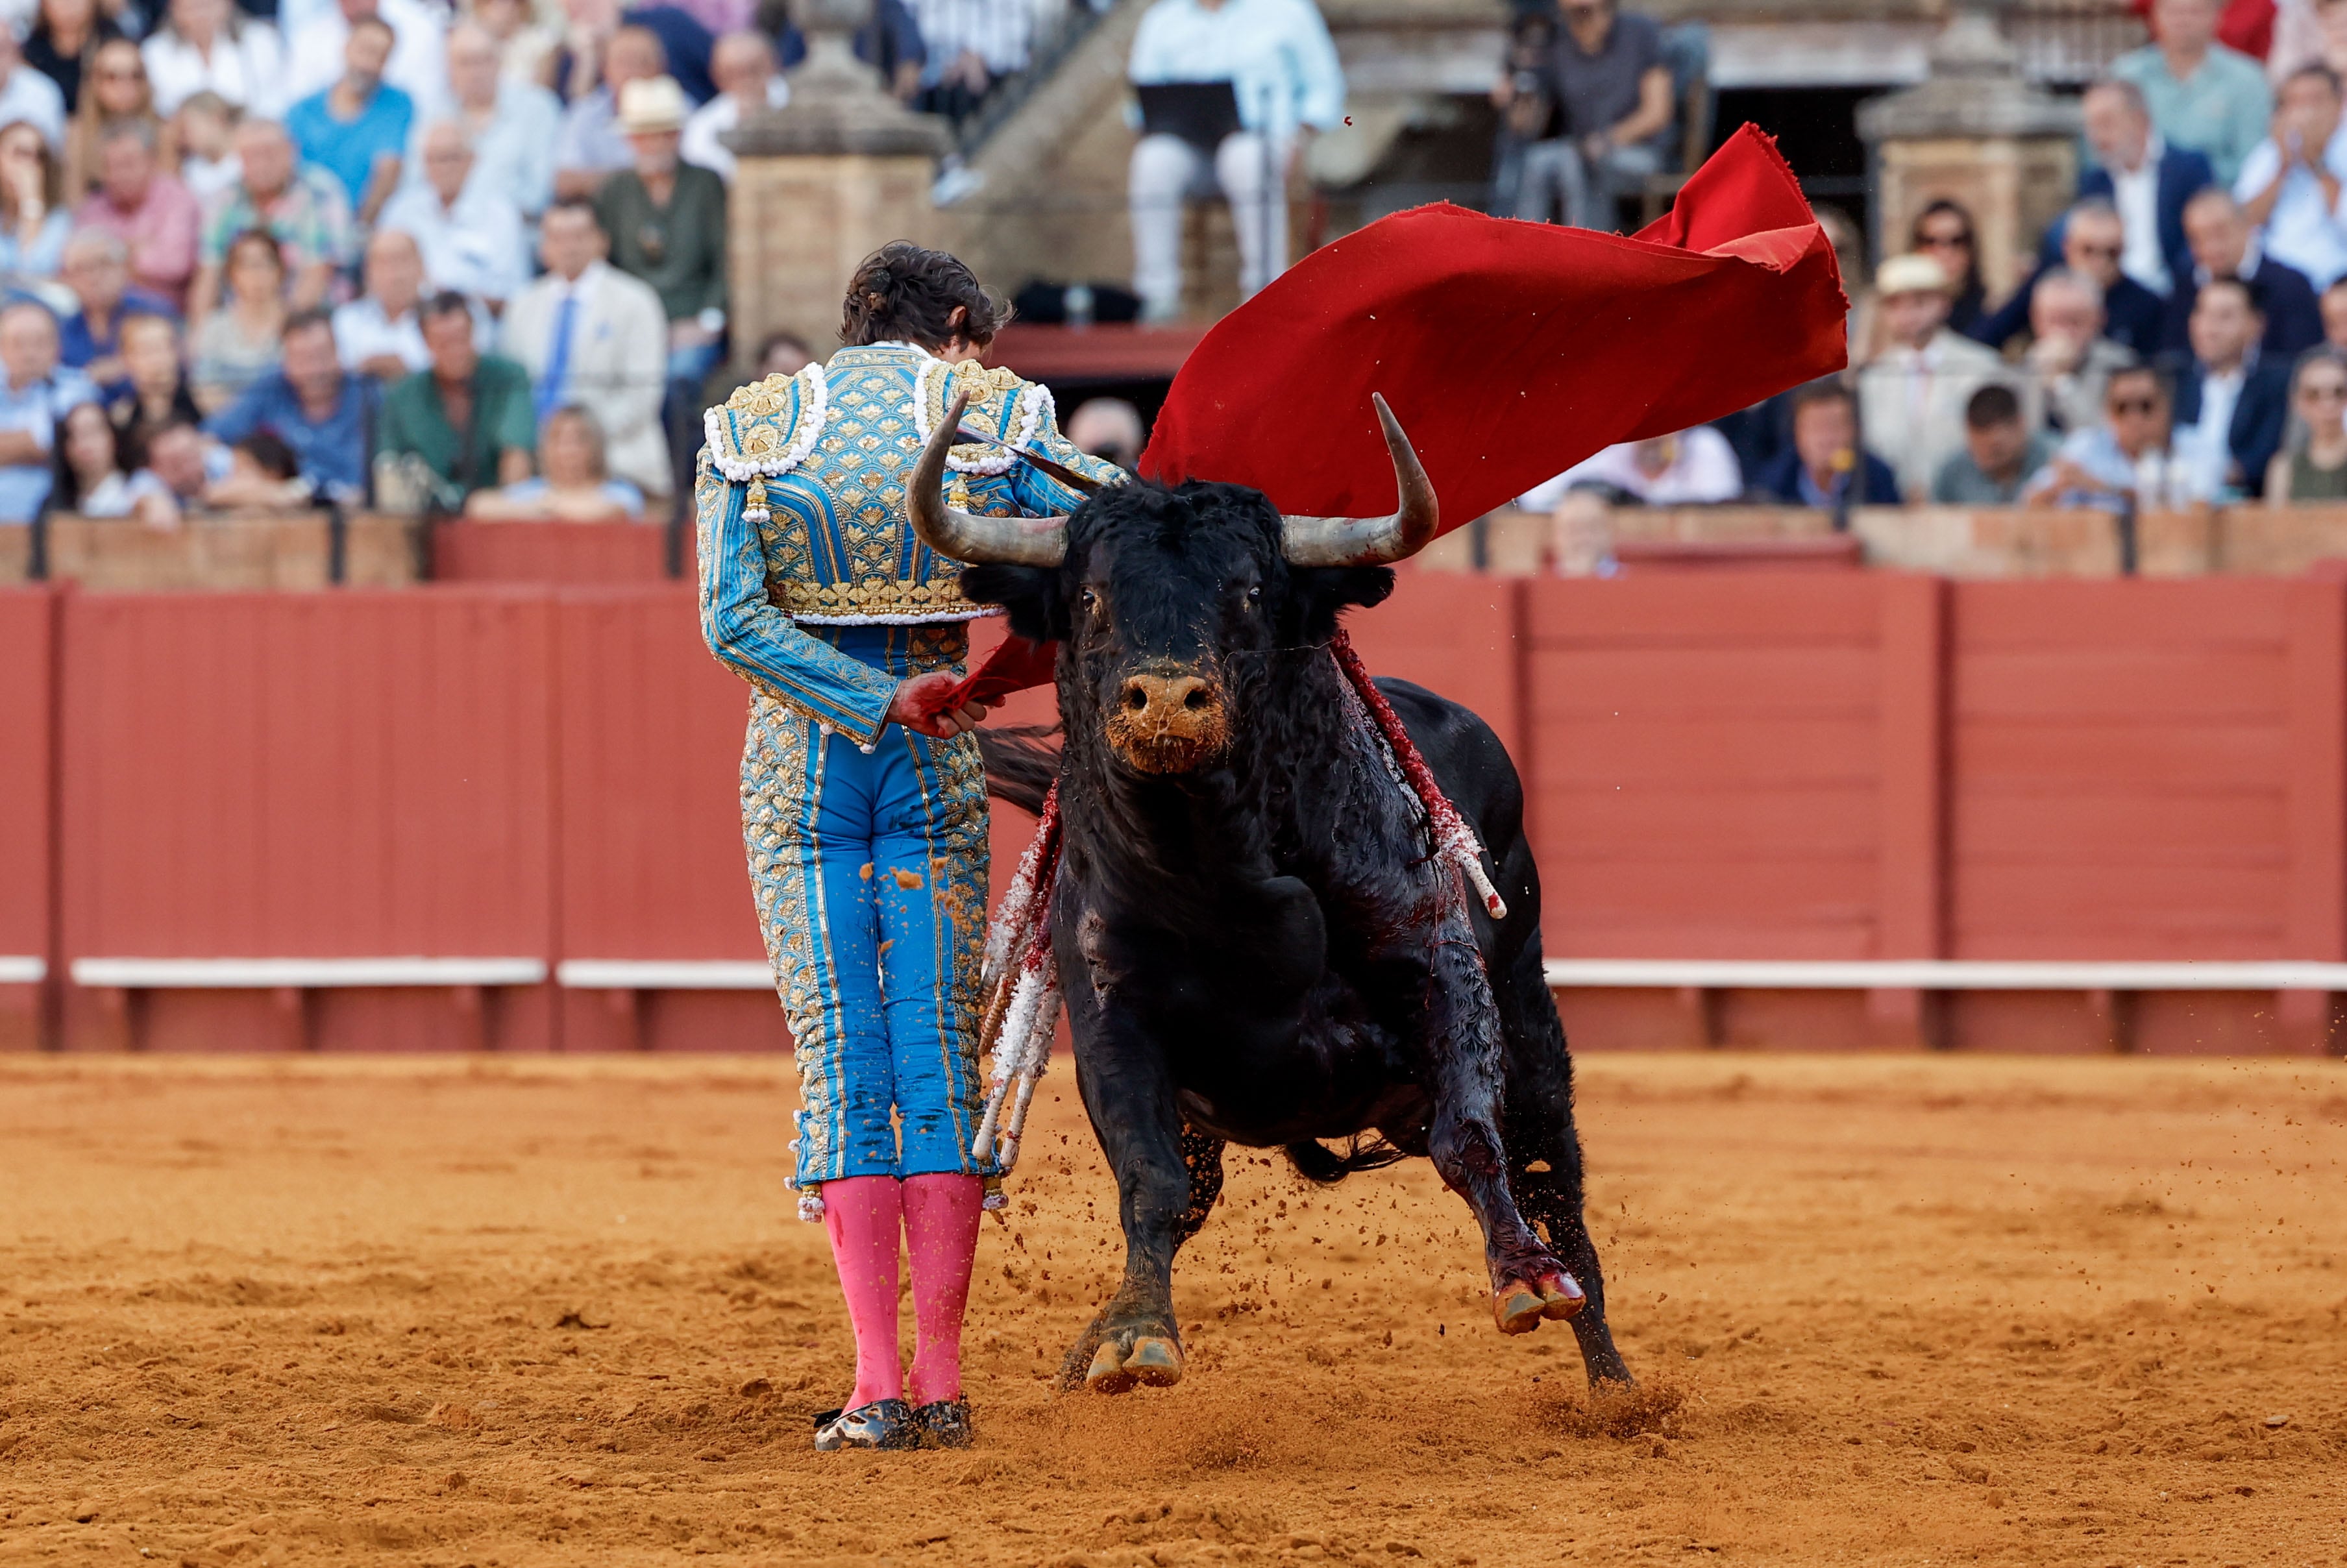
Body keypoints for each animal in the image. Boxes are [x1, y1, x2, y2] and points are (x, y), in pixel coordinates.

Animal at [962, 474, 1624, 1380]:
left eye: (1248, 592)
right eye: (1090, 598)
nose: (1165, 701)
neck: (1217, 862)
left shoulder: (1439, 969)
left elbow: (1470, 1138)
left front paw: (1524, 1278)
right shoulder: (1110, 1021)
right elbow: (1150, 1182)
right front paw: (1132, 1334)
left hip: (1528, 1020)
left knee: (1552, 1179)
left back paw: (1614, 1383)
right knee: (1190, 1196)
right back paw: (1084, 1354)